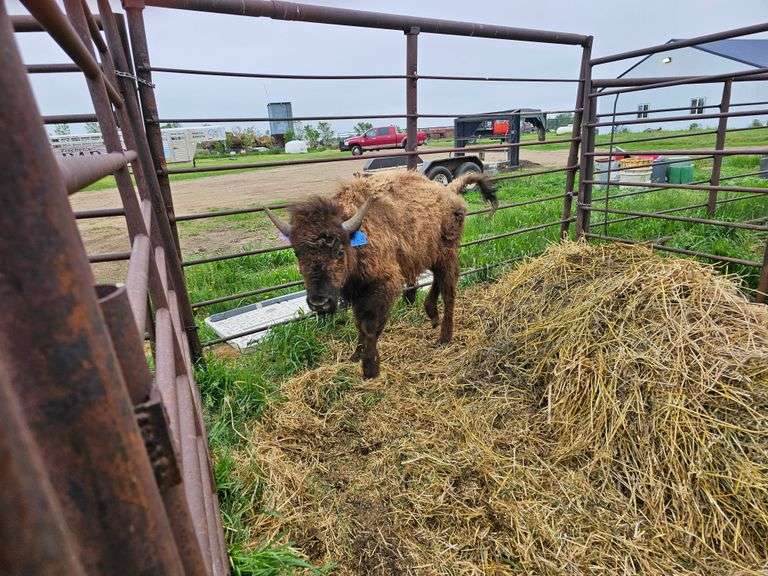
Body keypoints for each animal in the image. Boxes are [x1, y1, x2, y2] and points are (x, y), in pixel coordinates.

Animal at [265, 170, 498, 378]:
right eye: (298, 253)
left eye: (339, 251)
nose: (319, 303)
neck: (356, 237)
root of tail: (450, 191)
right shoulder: (356, 292)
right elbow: (359, 324)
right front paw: (355, 356)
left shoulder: (383, 286)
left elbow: (370, 326)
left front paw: (370, 368)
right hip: (430, 255)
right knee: (438, 280)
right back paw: (431, 314)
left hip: (448, 254)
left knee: (449, 292)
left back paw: (444, 337)